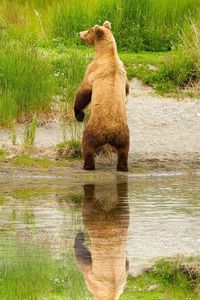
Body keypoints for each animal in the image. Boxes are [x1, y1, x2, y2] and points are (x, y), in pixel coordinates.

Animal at [74, 20, 130, 171]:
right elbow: (127, 89)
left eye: (88, 30)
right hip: (124, 134)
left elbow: (84, 92)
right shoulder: (123, 71)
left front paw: (79, 114)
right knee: (124, 150)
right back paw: (122, 166)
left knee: (87, 144)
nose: (79, 33)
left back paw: (88, 165)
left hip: (94, 129)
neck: (107, 54)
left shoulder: (93, 70)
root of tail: (109, 133)